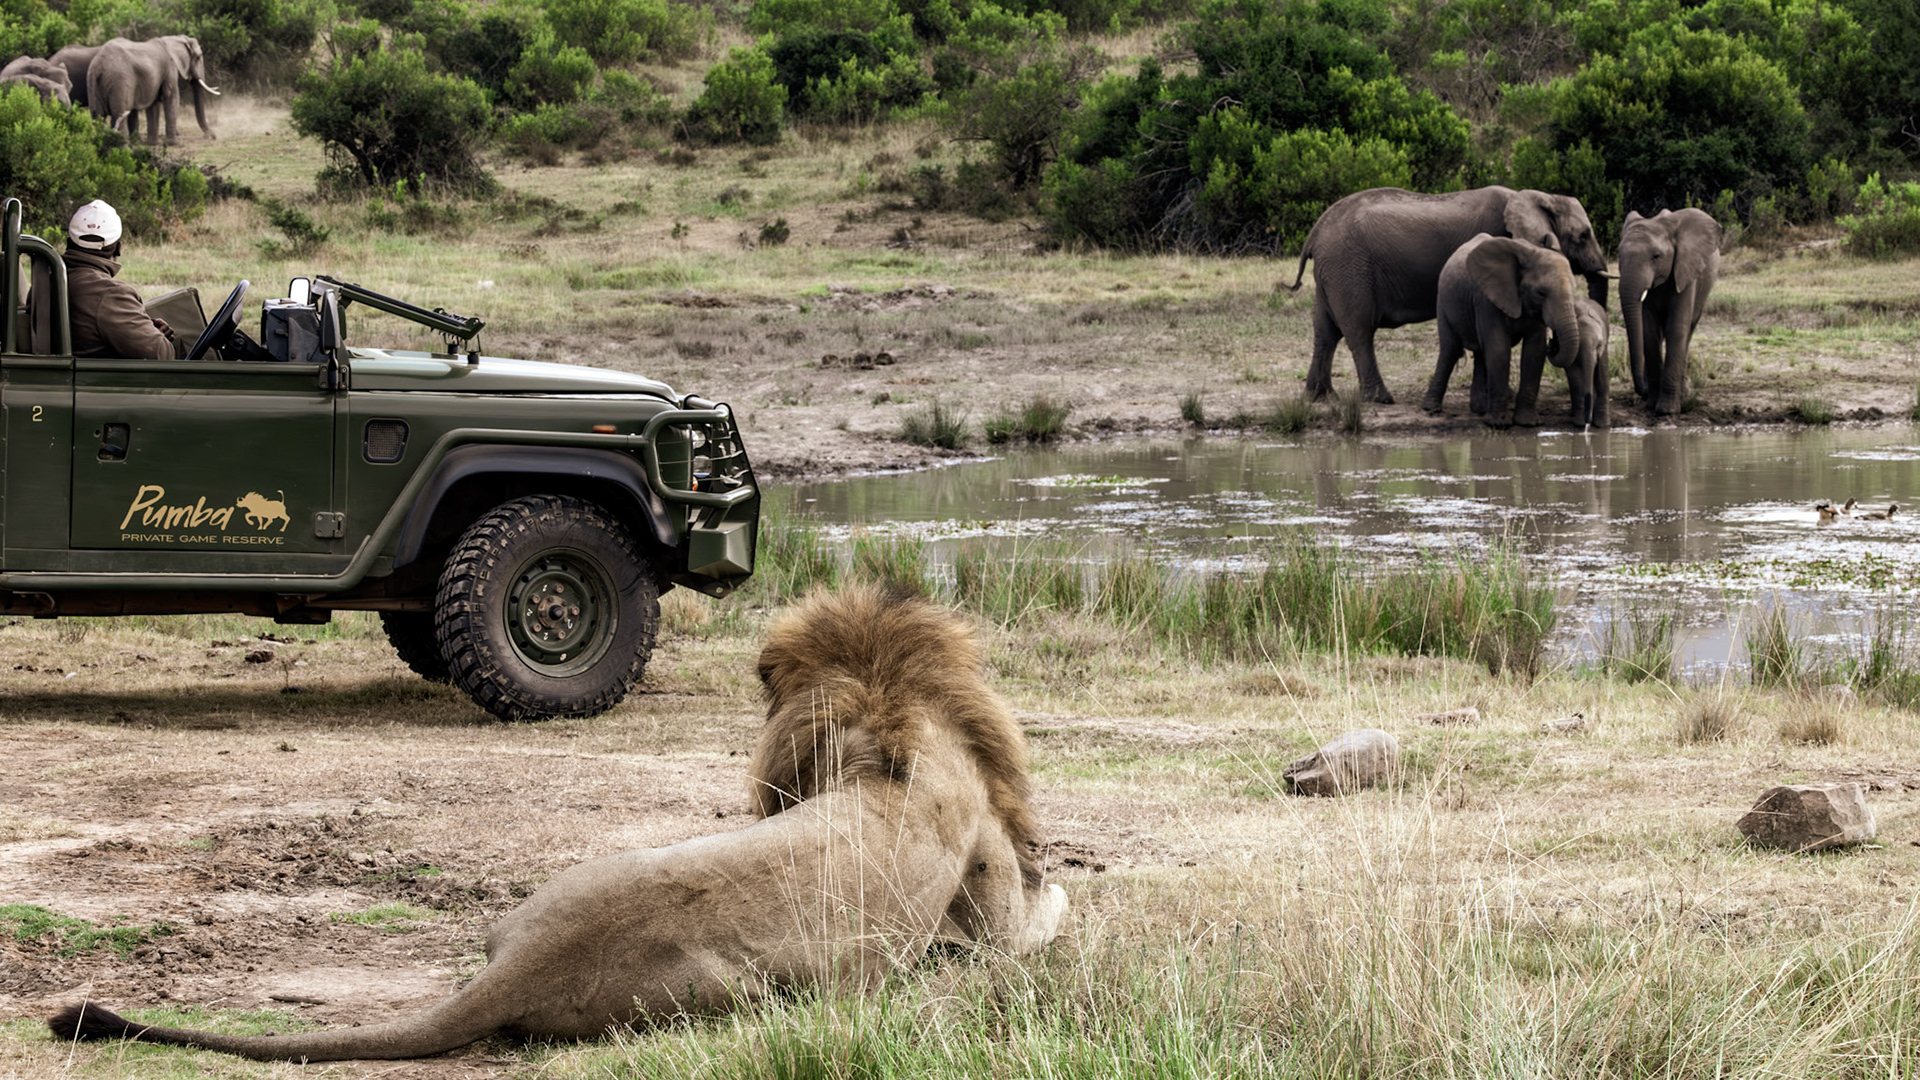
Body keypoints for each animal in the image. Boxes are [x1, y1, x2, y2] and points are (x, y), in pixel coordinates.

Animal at [88, 35, 220, 144]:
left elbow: (154, 104)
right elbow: (171, 96)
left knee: (98, 116)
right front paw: (175, 143)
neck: (175, 39)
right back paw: (124, 148)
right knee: (119, 115)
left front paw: (153, 143)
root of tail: (99, 65)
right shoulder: (170, 67)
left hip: (93, 81)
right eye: (198, 57)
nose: (211, 136)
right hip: (120, 81)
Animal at [1283, 186, 1610, 404]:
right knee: (1359, 332)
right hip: (1349, 268)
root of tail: (1315, 233)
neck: (1539, 197)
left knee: (1325, 332)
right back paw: (1380, 399)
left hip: (1332, 272)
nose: (1554, 343)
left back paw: (1320, 397)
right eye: (1583, 236)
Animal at [1419, 234, 1584, 429]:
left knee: (1481, 354)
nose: (1553, 341)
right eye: (1541, 293)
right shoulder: (1487, 300)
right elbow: (1499, 349)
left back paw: (1480, 409)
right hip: (1443, 303)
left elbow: (1534, 351)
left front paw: (1527, 423)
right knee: (1450, 350)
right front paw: (1498, 424)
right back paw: (1431, 408)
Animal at [1619, 208, 1721, 416]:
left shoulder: (1686, 271)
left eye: (1656, 256)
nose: (1643, 393)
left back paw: (1683, 395)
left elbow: (1676, 329)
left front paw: (1666, 411)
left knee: (1688, 331)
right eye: (1618, 254)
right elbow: (1649, 333)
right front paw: (1651, 405)